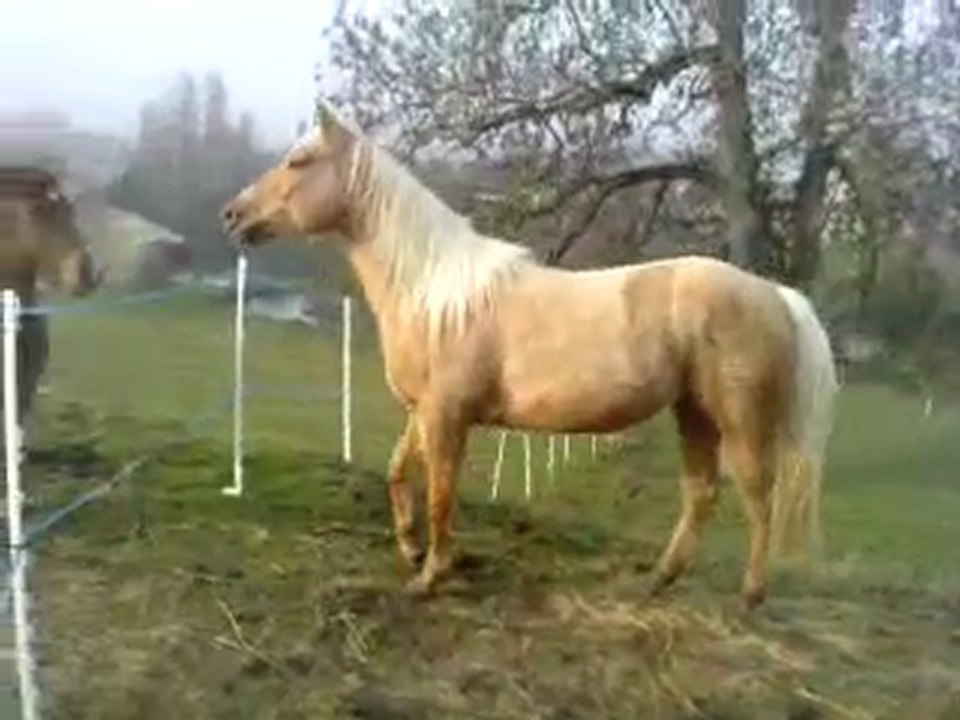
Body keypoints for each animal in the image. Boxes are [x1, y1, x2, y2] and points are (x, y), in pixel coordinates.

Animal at [221, 103, 838, 608]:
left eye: (299, 161)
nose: (233, 214)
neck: (437, 294)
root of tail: (773, 294)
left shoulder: (448, 415)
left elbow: (441, 494)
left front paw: (430, 577)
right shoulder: (425, 412)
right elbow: (398, 474)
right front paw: (411, 549)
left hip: (740, 419)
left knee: (758, 496)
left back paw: (751, 594)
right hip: (694, 413)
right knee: (702, 493)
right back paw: (659, 579)